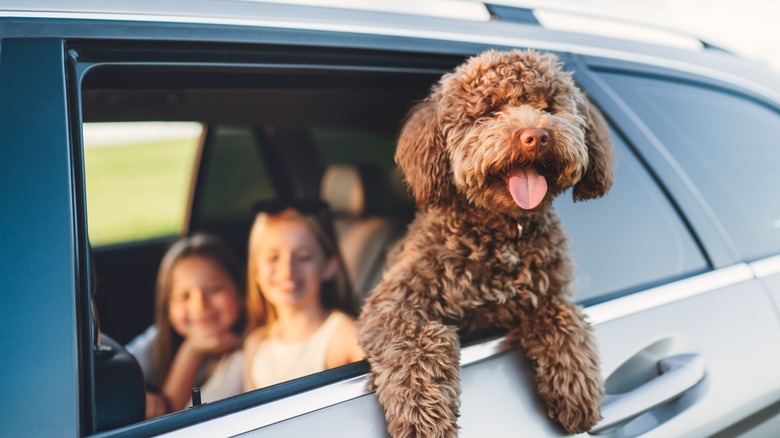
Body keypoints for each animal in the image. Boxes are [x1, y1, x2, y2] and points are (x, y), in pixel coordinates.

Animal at [356, 49, 612, 436]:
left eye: (549, 107)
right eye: (491, 110)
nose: (536, 136)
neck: (502, 232)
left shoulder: (547, 292)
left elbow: (562, 315)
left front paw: (576, 386)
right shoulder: (393, 304)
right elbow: (415, 339)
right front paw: (423, 415)